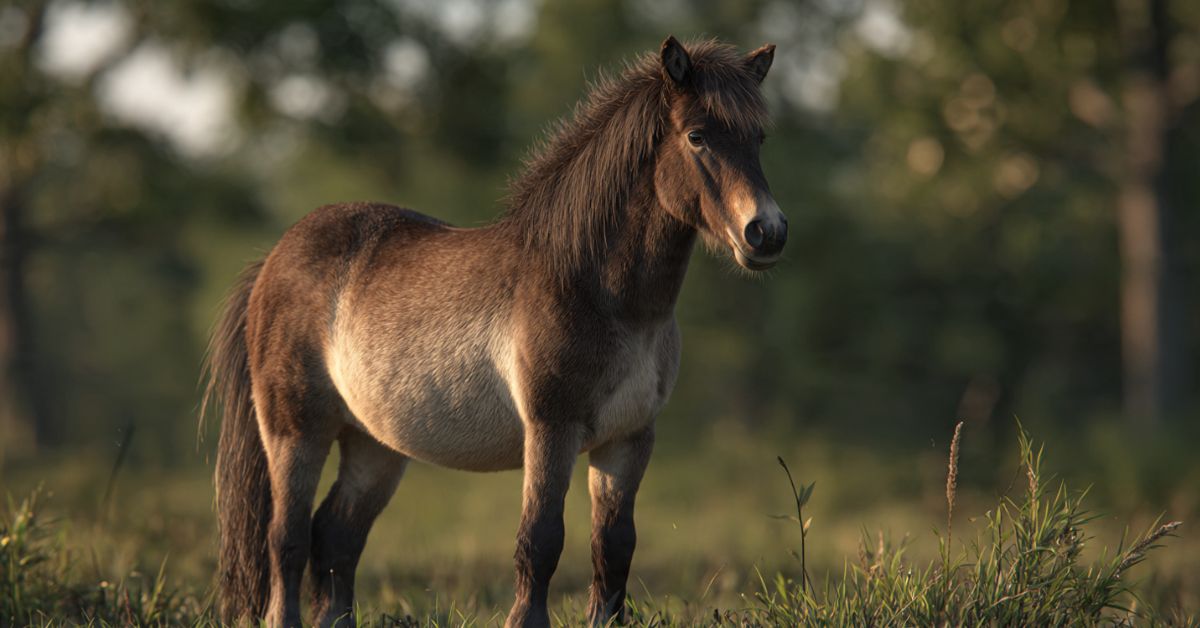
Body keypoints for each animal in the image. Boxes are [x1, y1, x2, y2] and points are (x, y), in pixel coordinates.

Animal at [202, 36, 785, 627]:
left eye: (758, 137)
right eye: (696, 136)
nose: (766, 232)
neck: (603, 292)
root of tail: (274, 260)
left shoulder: (629, 437)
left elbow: (614, 546)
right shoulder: (551, 428)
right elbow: (541, 539)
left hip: (373, 444)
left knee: (336, 536)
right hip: (296, 431)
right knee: (287, 537)